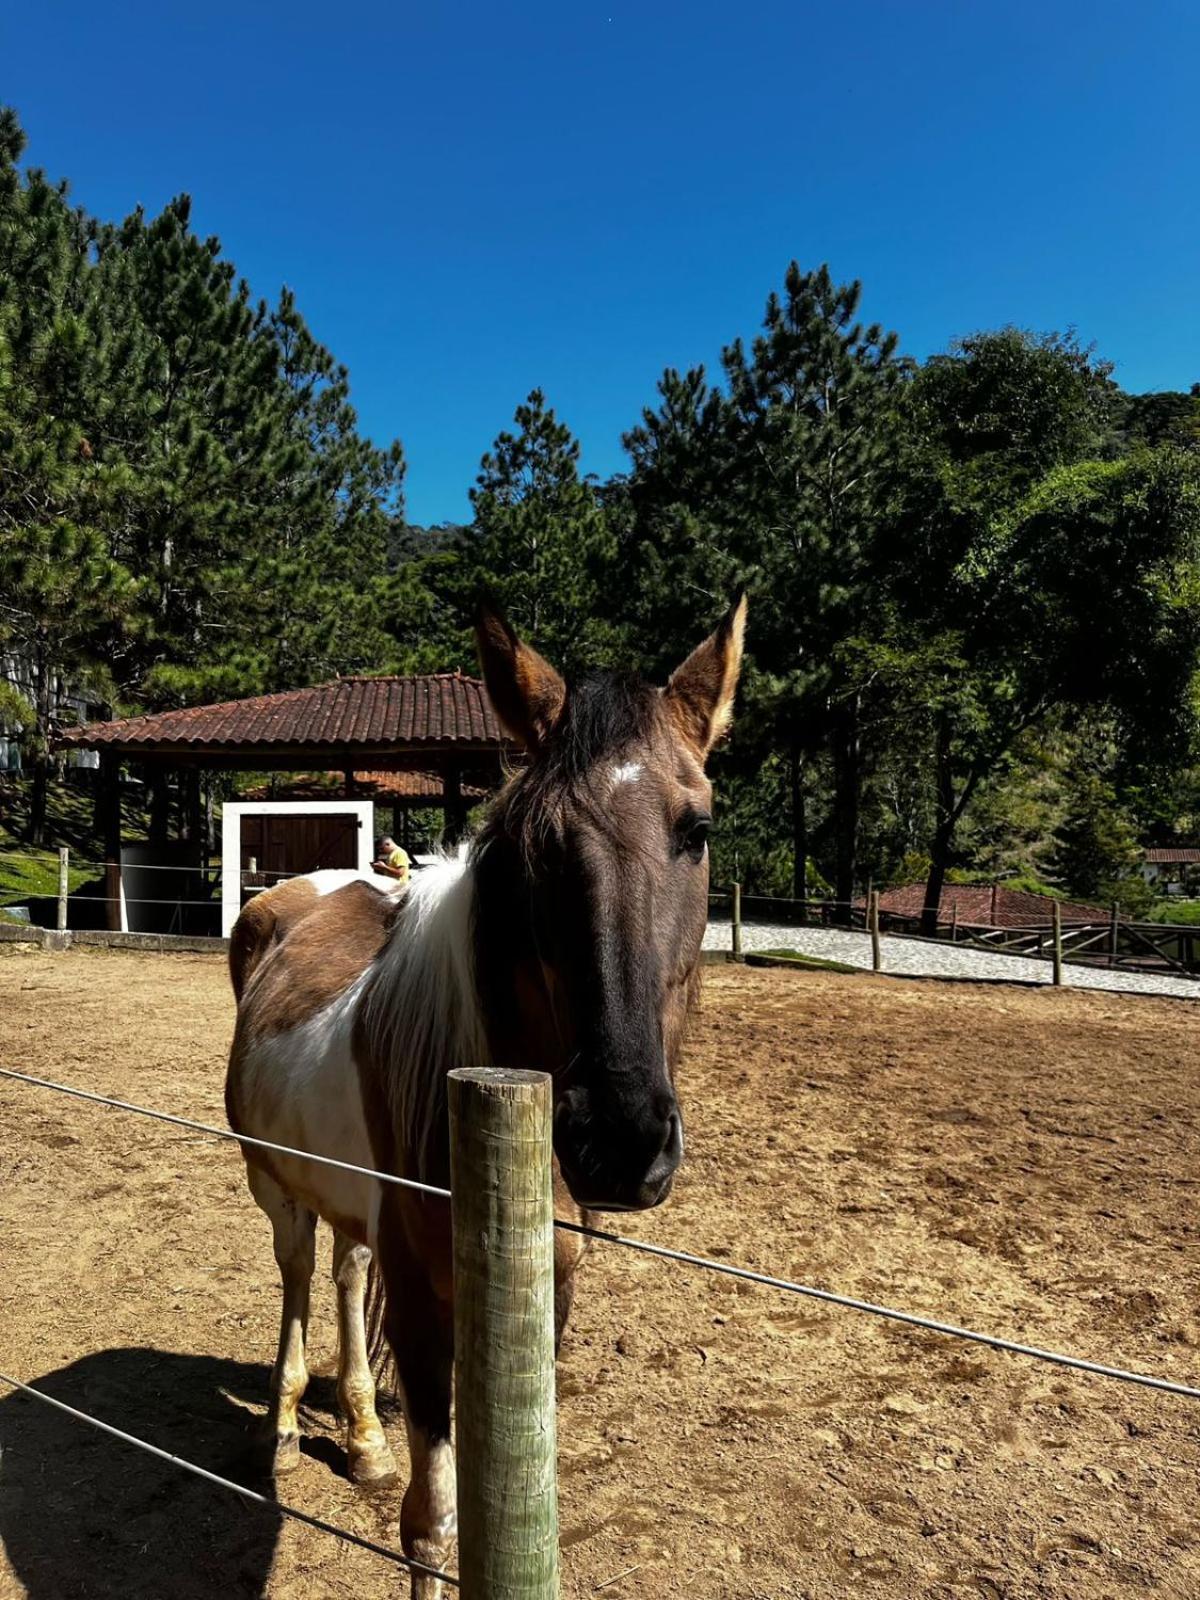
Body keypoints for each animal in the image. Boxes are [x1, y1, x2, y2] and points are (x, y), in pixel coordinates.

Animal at [224, 598, 742, 1587]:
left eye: (696, 830)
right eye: (535, 843)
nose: (620, 1139)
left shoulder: (547, 1293)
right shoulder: (425, 1309)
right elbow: (431, 1525)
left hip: (352, 1207)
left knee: (344, 1271)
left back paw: (362, 1437)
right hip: (273, 1186)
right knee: (299, 1274)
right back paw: (282, 1429)